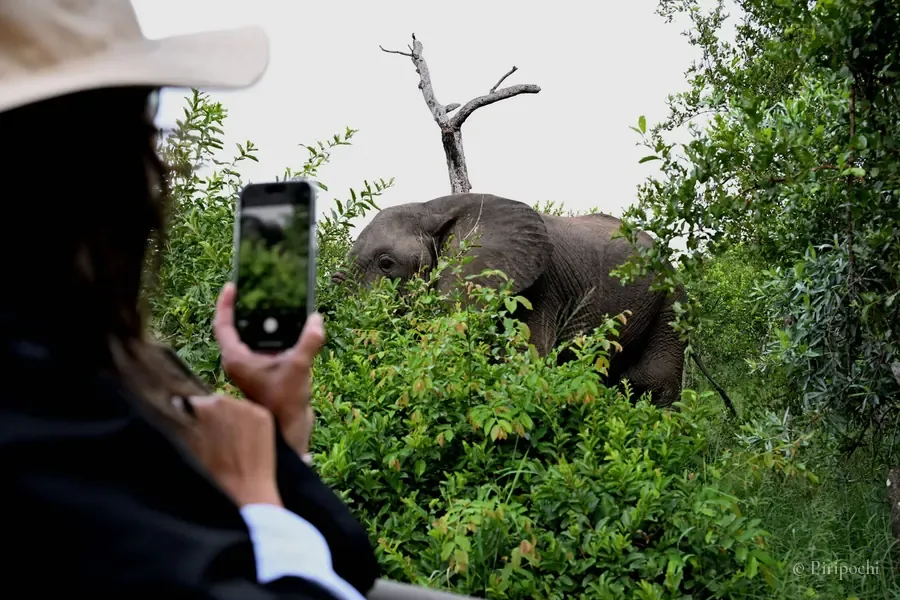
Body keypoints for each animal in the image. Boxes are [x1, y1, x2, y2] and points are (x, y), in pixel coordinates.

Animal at [331, 192, 733, 412]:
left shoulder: (537, 289)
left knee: (652, 380)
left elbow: (521, 360)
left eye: (386, 265)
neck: (433, 206)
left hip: (672, 300)